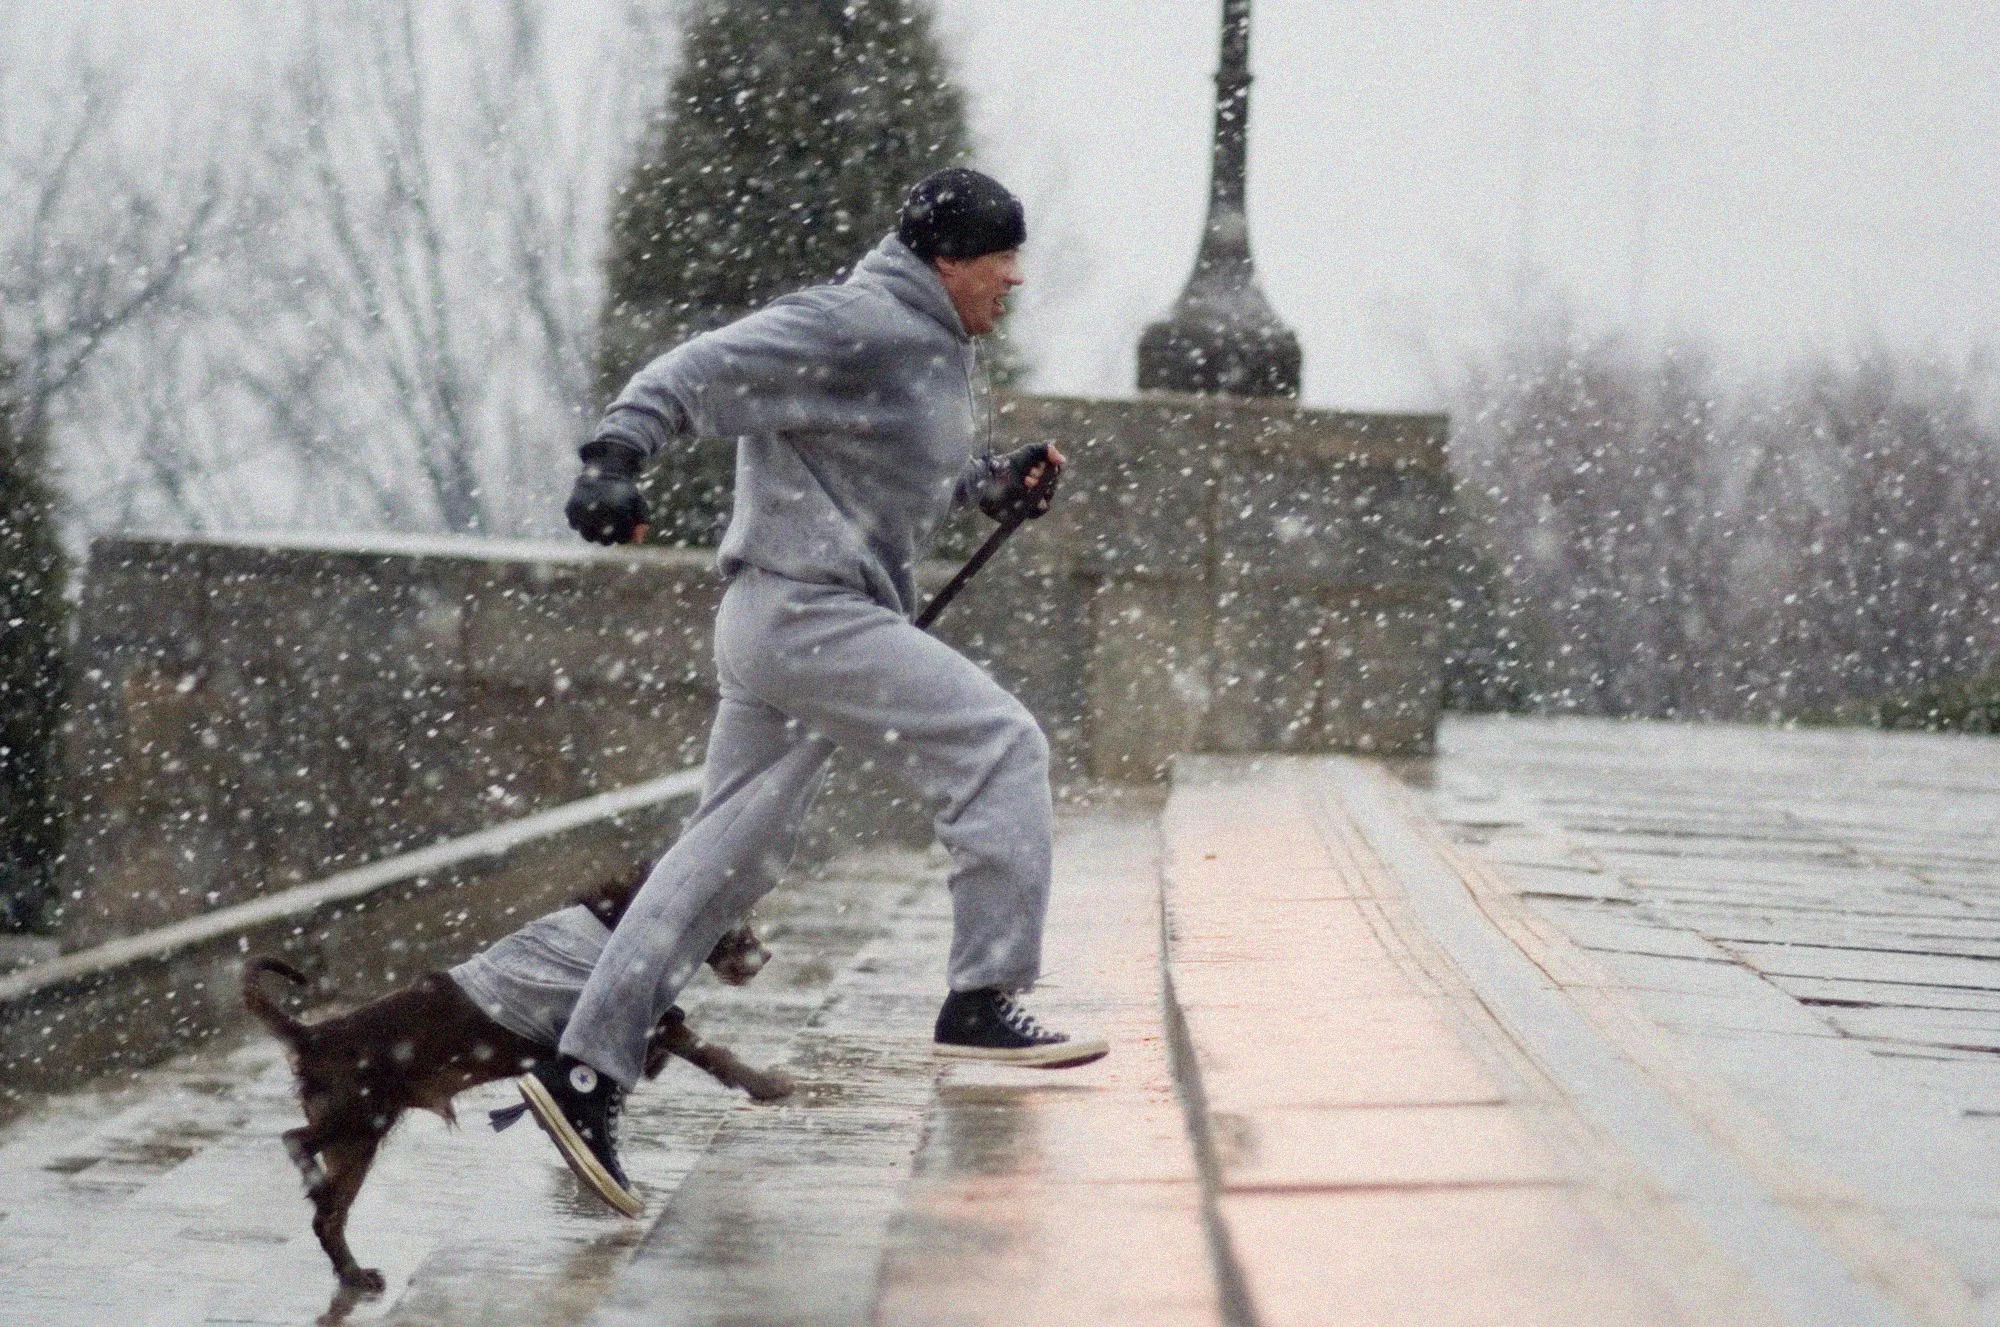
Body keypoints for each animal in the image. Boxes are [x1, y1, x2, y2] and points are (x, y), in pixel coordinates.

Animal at [242, 875, 788, 1287]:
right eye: (733, 921)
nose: (766, 956)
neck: (619, 921)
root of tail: (311, 1035)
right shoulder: (642, 1020)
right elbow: (710, 1051)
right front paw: (769, 1085)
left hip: (355, 1141)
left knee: (327, 1216)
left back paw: (354, 1275)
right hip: (357, 1118)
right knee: (295, 1142)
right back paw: (319, 1197)